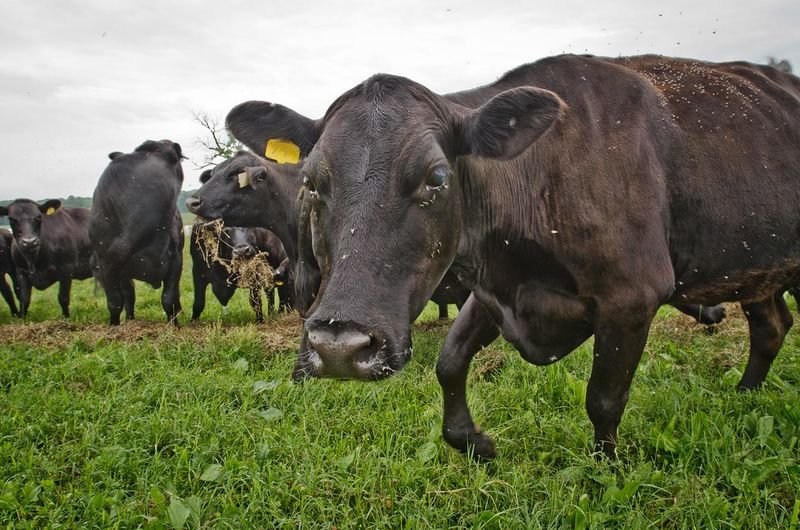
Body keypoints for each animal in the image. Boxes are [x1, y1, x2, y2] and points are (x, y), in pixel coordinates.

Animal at [89, 140, 185, 325]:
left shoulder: (176, 259)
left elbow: (169, 298)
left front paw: (174, 326)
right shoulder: (107, 264)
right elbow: (115, 302)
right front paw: (114, 326)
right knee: (129, 296)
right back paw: (130, 320)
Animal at [222, 54, 800, 461]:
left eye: (437, 177)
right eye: (311, 182)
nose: (340, 347)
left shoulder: (632, 298)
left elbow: (604, 398)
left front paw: (606, 469)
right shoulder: (496, 288)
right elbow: (450, 361)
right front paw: (475, 442)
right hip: (758, 270)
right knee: (772, 324)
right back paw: (744, 396)